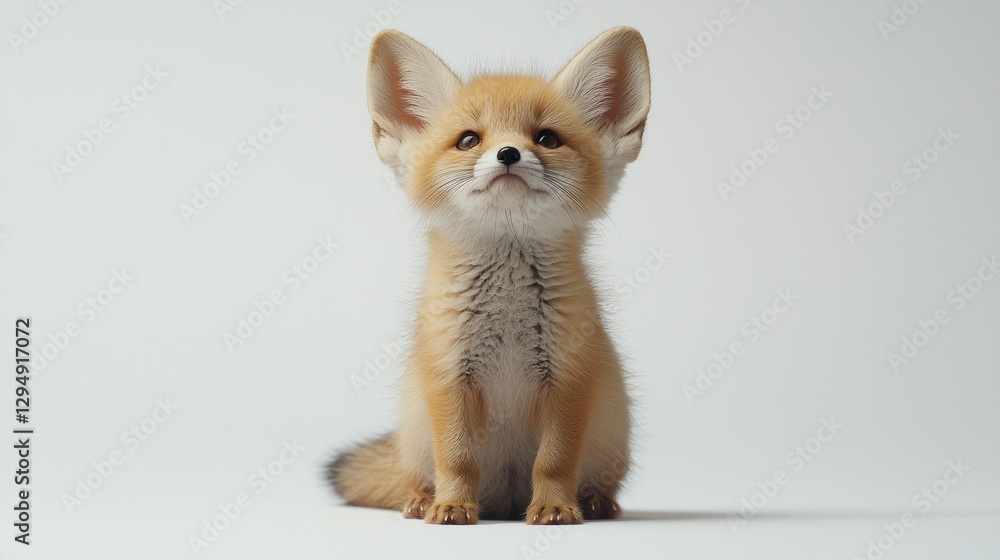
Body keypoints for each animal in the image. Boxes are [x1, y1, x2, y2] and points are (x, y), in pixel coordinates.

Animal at [326, 26, 651, 525]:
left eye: (546, 138)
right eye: (468, 141)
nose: (508, 153)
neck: (508, 315)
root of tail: (506, 501)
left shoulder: (568, 378)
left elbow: (555, 461)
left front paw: (556, 507)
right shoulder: (448, 376)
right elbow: (456, 458)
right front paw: (452, 506)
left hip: (613, 434)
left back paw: (594, 501)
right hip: (414, 434)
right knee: (416, 476)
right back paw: (421, 500)